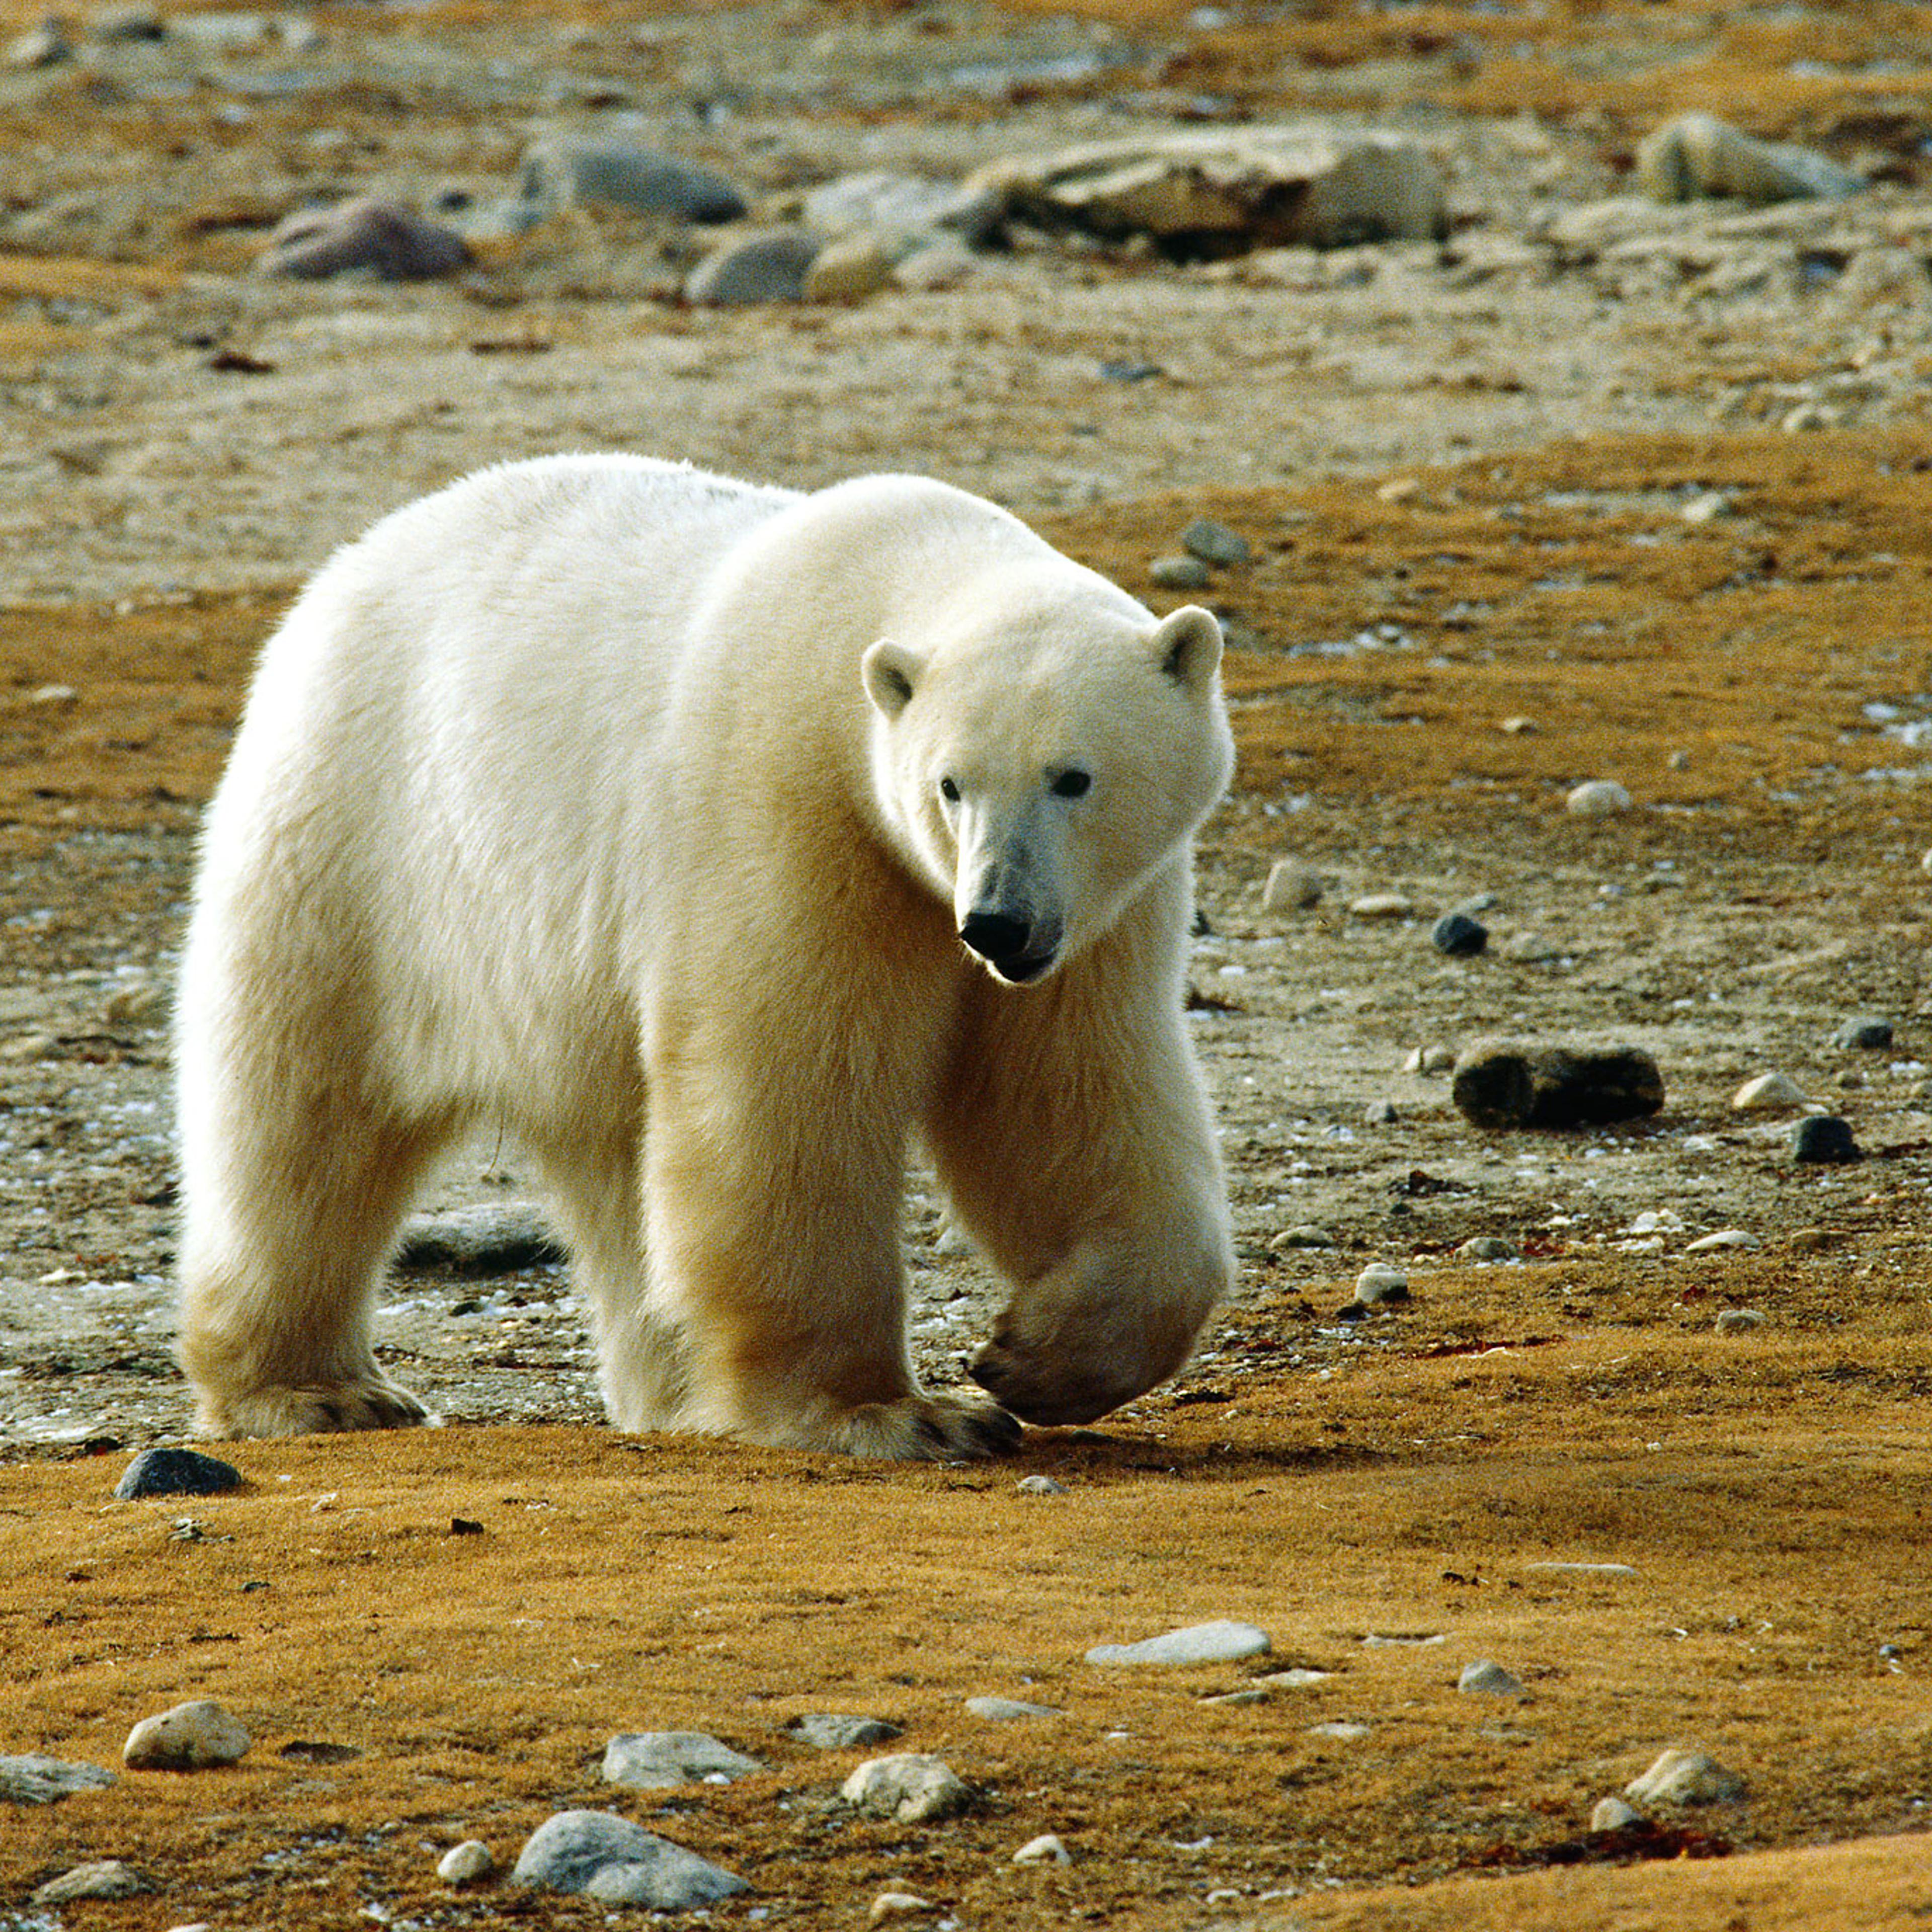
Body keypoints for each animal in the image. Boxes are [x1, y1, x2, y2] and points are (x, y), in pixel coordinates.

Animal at [174, 453, 1236, 1459]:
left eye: (1074, 778)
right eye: (950, 784)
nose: (996, 923)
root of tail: (340, 576)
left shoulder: (1096, 918)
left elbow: (1066, 1099)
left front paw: (1037, 1360)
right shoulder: (788, 809)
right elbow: (786, 1091)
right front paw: (894, 1413)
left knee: (612, 1163)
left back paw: (674, 1392)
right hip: (361, 852)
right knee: (304, 1118)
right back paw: (316, 1390)